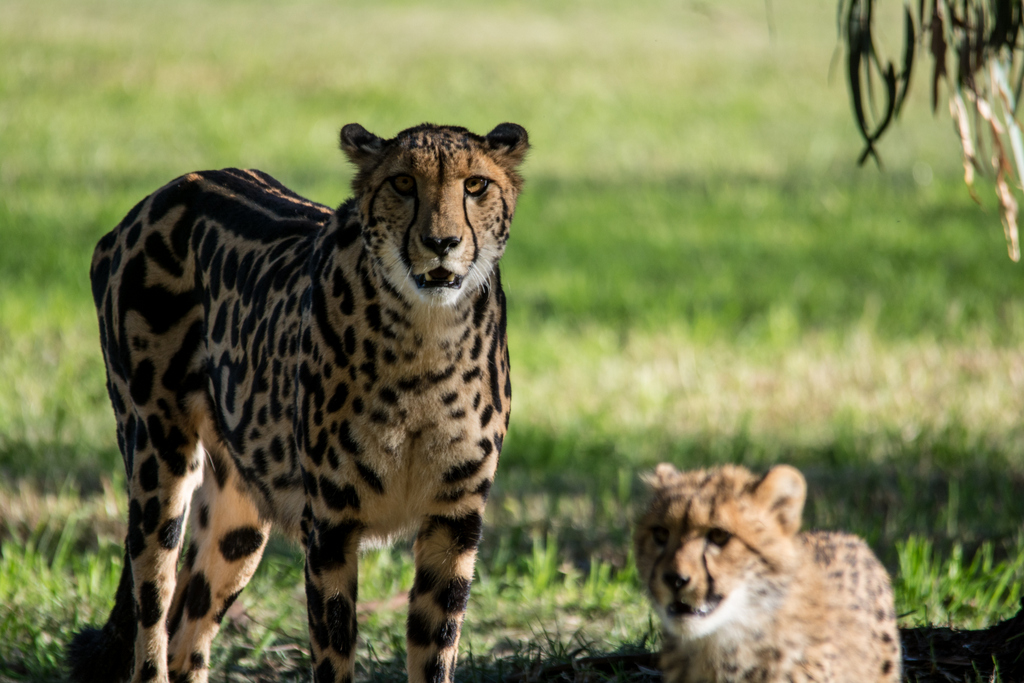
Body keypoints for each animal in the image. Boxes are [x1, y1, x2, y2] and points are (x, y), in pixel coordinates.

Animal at [66, 121, 528, 683]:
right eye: (401, 183)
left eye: (476, 185)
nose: (441, 243)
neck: (426, 337)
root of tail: (167, 190)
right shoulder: (330, 526)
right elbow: (333, 654)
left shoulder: (454, 522)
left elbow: (435, 652)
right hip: (159, 458)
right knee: (152, 615)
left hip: (239, 515)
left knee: (187, 638)